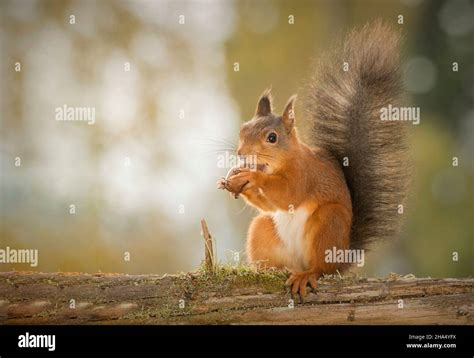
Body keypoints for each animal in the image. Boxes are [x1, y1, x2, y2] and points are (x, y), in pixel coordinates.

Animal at [218, 21, 408, 300]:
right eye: (243, 129)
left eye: (272, 138)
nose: (242, 154)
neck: (278, 164)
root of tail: (343, 255)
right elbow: (268, 205)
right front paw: (234, 179)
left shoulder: (304, 175)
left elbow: (287, 194)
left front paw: (251, 177)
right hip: (262, 230)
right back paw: (269, 271)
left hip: (328, 223)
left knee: (322, 268)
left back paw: (308, 275)